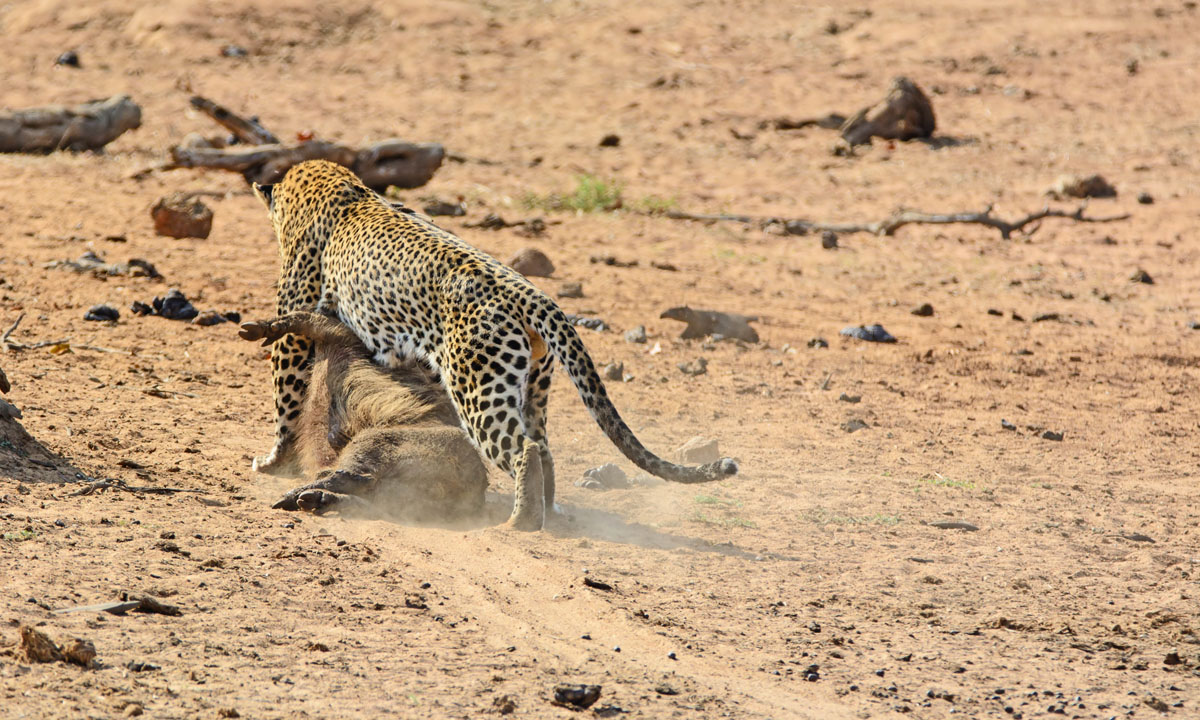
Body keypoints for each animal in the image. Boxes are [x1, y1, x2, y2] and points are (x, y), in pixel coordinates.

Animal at [239, 310, 493, 520]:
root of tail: (476, 491)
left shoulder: (337, 333)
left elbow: (308, 318)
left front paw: (254, 329)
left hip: (375, 441)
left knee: (351, 476)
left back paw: (294, 496)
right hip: (399, 495)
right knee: (366, 497)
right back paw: (312, 499)